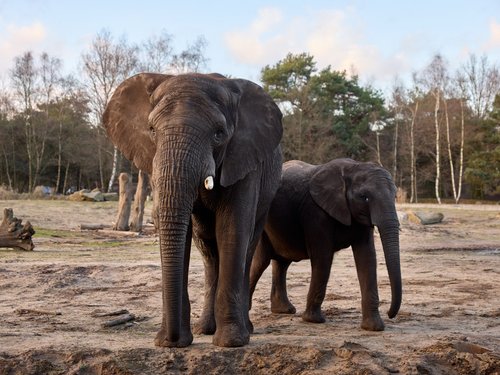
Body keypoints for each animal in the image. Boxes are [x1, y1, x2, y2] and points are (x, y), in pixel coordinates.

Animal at [103, 72, 284, 348]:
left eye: (219, 134)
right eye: (152, 130)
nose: (172, 339)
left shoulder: (244, 159)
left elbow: (233, 227)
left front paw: (231, 343)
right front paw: (173, 342)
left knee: (247, 246)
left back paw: (245, 329)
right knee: (208, 251)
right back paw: (204, 329)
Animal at [250, 159, 402, 332]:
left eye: (395, 196)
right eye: (364, 197)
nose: (390, 314)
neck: (353, 167)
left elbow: (367, 257)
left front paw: (373, 328)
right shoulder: (316, 213)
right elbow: (323, 257)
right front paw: (313, 320)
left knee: (282, 263)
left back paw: (284, 311)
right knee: (260, 262)